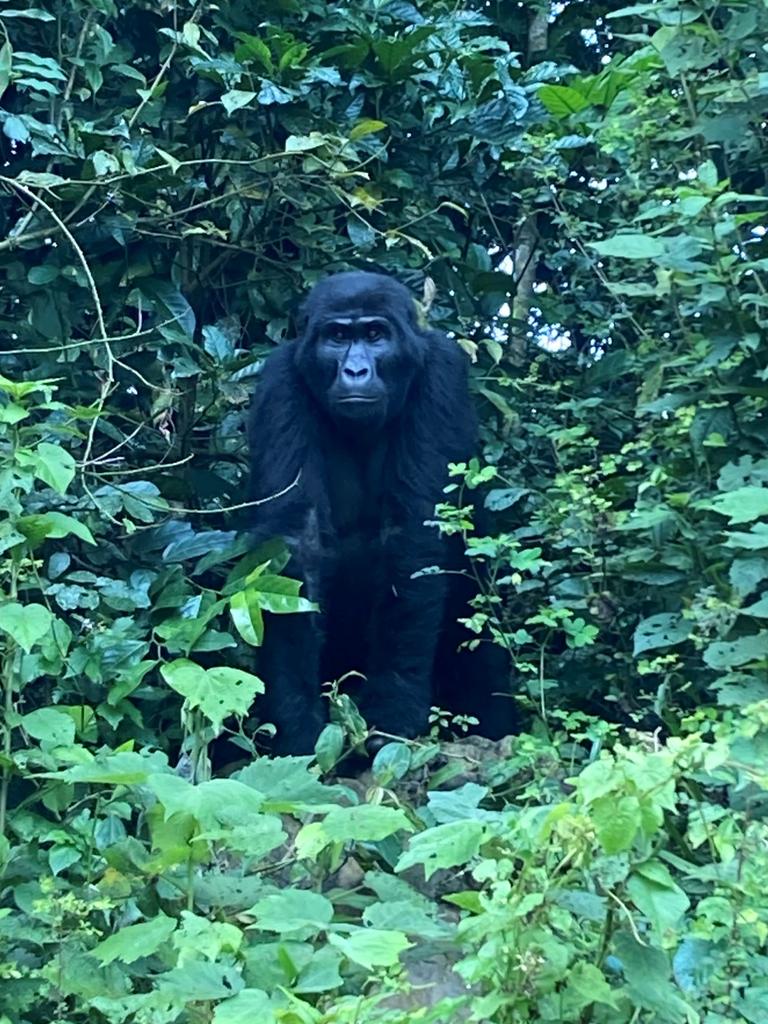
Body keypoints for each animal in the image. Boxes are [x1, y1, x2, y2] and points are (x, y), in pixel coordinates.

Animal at [249, 270, 514, 753]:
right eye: (338, 337)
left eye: (375, 335)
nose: (355, 370)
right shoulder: (279, 381)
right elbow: (297, 543)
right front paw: (296, 721)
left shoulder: (442, 372)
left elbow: (413, 541)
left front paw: (394, 706)